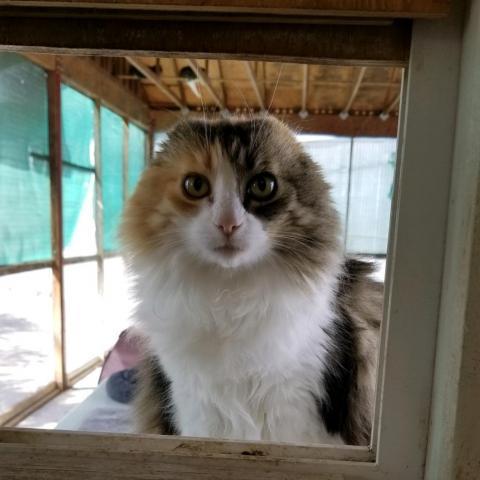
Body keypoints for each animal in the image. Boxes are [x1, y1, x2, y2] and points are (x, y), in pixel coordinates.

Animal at [121, 116, 382, 446]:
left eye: (262, 185)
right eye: (195, 185)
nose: (227, 223)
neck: (229, 298)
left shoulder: (302, 419)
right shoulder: (196, 414)